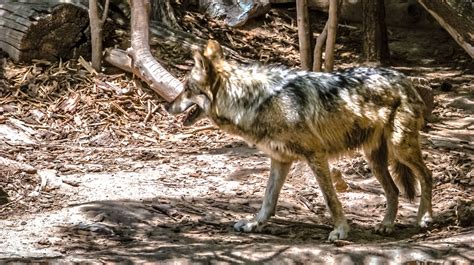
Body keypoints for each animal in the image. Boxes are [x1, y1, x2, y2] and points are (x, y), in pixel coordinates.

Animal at [168, 39, 434, 241]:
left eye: (186, 89)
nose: (166, 105)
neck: (252, 100)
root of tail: (403, 78)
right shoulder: (280, 160)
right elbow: (268, 200)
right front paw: (255, 224)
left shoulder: (316, 155)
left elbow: (330, 199)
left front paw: (340, 230)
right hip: (375, 160)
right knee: (394, 190)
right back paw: (386, 224)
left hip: (400, 149)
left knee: (426, 175)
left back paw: (424, 217)